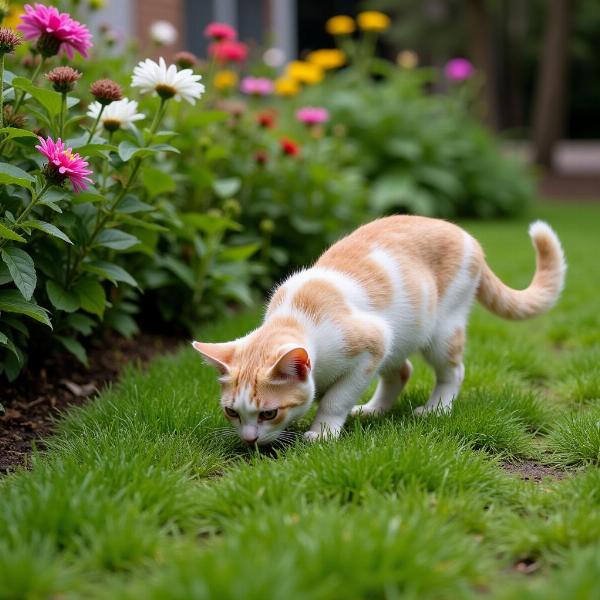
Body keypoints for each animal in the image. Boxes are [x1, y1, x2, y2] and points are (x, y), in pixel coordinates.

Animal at [193, 217, 568, 446]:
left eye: (269, 413)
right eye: (231, 412)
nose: (249, 439)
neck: (296, 317)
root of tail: (466, 234)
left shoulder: (370, 347)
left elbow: (336, 399)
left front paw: (322, 432)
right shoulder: (380, 346)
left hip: (441, 331)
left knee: (453, 371)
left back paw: (436, 409)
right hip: (400, 337)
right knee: (402, 370)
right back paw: (375, 410)